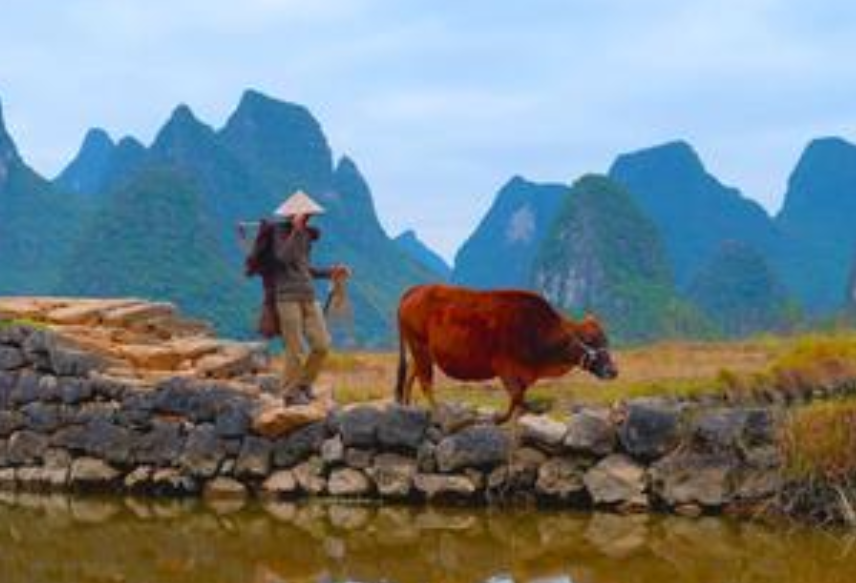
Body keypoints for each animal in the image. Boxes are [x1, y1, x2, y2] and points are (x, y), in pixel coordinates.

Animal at [394, 286, 616, 422]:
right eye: (591, 340)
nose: (613, 371)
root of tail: (417, 290)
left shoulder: (523, 375)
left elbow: (520, 399)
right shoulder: (505, 368)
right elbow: (517, 397)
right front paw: (501, 418)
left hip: (422, 353)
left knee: (411, 376)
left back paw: (407, 407)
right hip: (420, 347)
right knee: (425, 382)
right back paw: (437, 411)